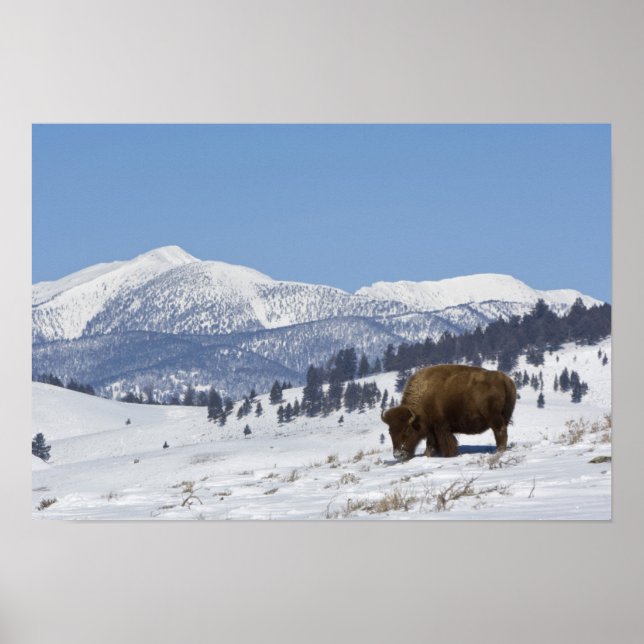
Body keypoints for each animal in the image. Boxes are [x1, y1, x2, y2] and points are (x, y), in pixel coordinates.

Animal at [382, 364, 516, 460]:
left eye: (407, 430)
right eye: (390, 432)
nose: (398, 455)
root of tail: (505, 379)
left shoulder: (440, 427)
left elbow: (444, 442)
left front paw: (449, 455)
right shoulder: (431, 429)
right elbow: (431, 444)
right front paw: (429, 454)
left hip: (494, 418)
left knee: (500, 432)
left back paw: (498, 451)